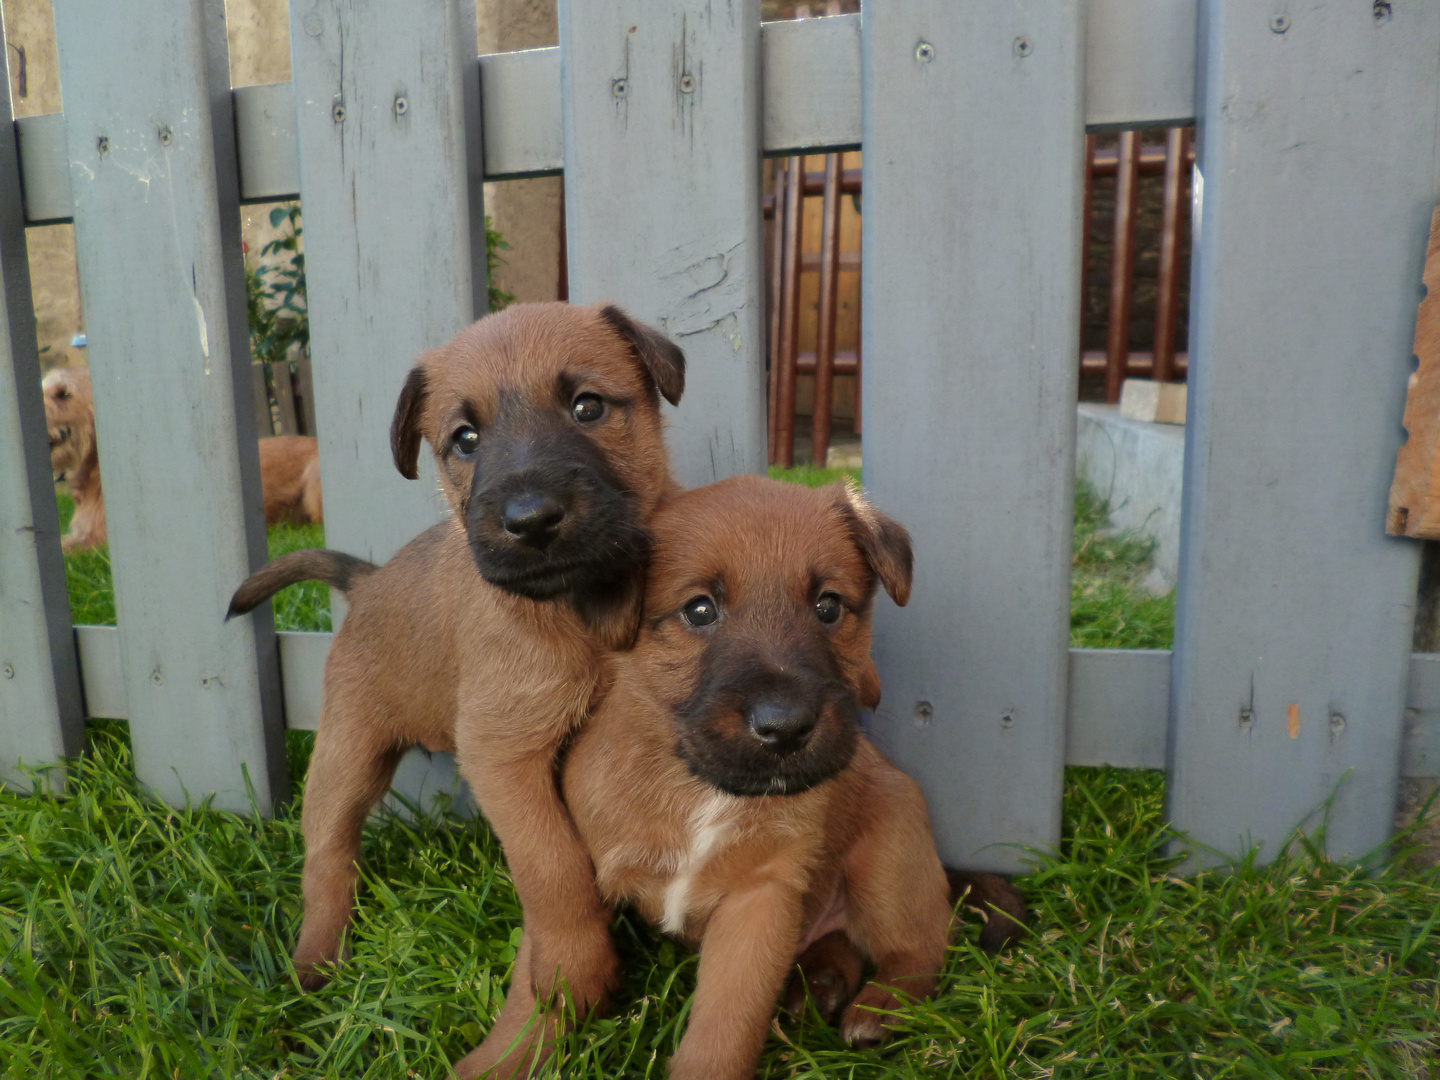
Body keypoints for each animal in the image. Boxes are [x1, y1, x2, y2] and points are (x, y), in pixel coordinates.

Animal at [226, 300, 685, 1059]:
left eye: (588, 406)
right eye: (464, 439)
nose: (530, 521)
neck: (582, 616)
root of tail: (367, 581)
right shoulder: (504, 757)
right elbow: (553, 867)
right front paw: (575, 969)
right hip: (347, 756)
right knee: (326, 854)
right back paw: (317, 957)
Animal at [460, 480, 1025, 1080]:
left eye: (829, 606)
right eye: (699, 609)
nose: (786, 728)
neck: (700, 787)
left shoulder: (759, 900)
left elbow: (724, 1030)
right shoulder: (576, 877)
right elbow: (541, 982)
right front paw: (499, 1062)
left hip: (888, 857)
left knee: (922, 947)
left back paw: (879, 1008)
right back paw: (820, 985)